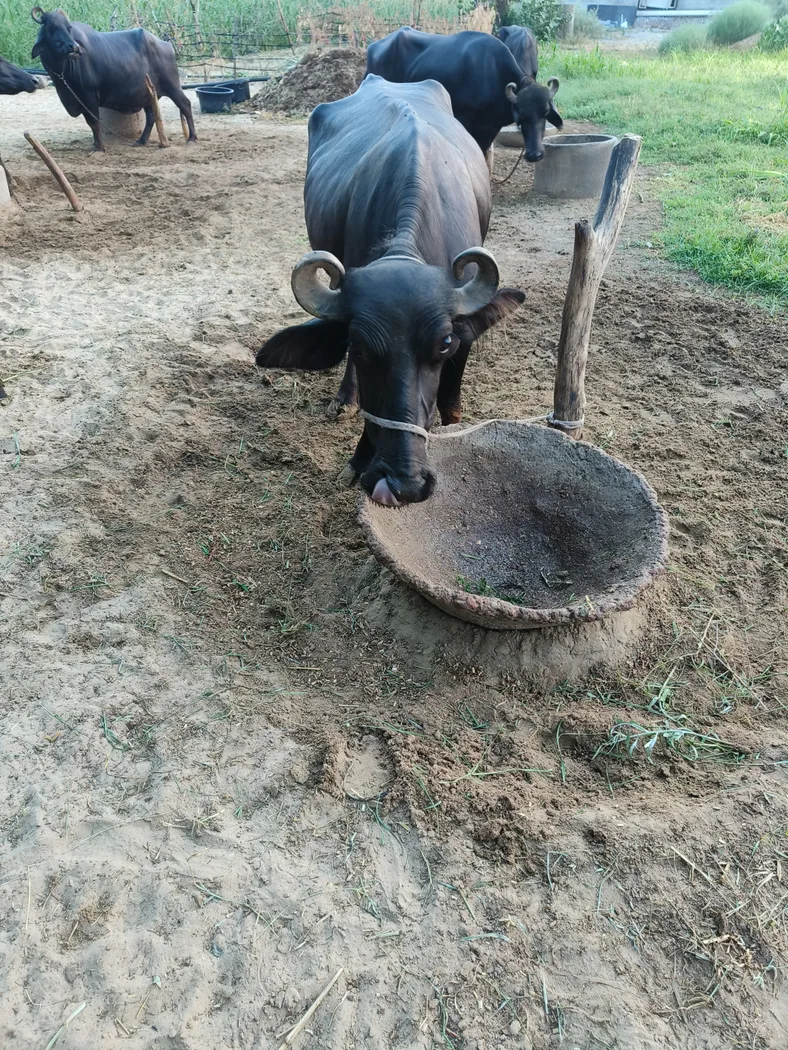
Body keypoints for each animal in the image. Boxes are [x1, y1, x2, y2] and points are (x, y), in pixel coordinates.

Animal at [30, 7, 196, 152]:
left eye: (68, 28)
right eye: (51, 27)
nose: (74, 47)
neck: (62, 72)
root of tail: (166, 44)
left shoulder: (89, 96)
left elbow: (94, 122)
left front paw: (99, 147)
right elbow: (90, 123)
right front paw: (95, 144)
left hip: (173, 86)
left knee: (185, 105)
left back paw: (192, 138)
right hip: (147, 94)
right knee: (151, 116)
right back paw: (141, 141)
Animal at [366, 27, 561, 164]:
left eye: (545, 113)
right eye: (521, 116)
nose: (535, 155)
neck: (492, 73)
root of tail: (373, 47)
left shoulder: (490, 127)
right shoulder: (466, 121)